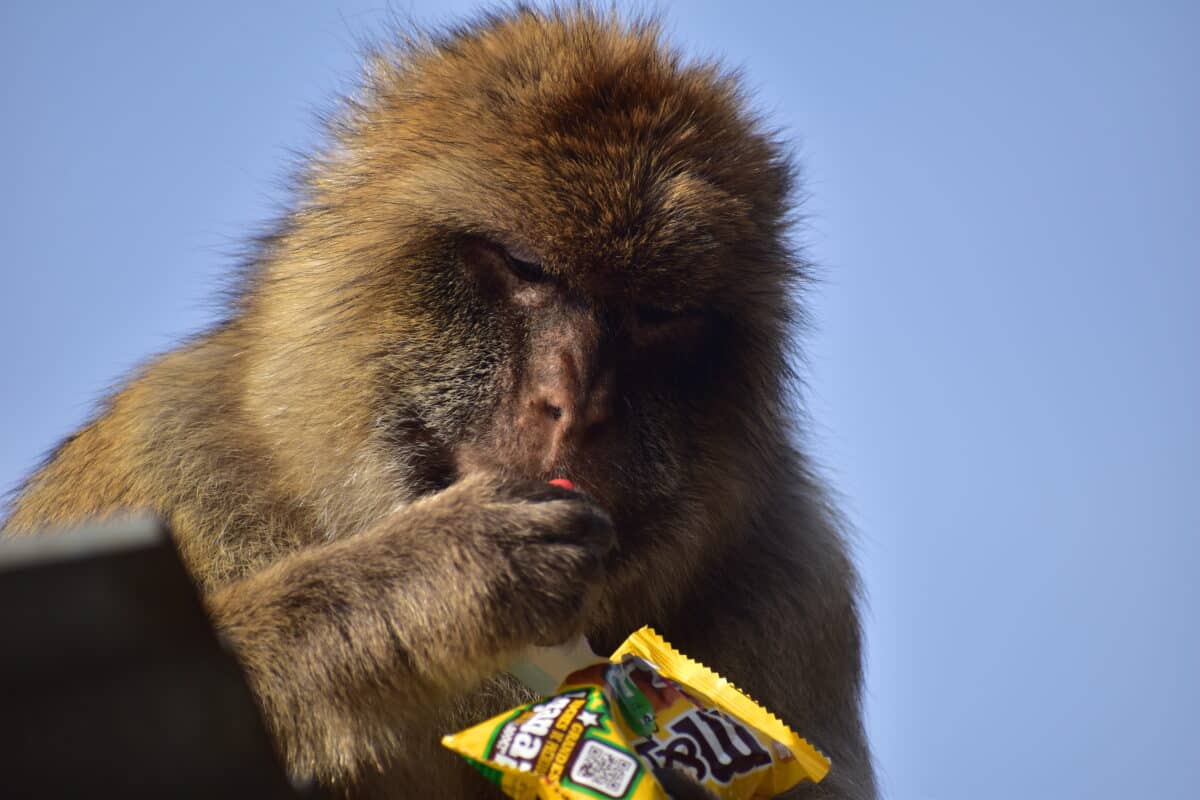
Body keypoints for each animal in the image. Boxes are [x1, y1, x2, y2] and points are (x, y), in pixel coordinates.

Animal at [2, 6, 876, 800]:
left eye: (658, 313)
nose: (572, 405)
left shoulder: (798, 584)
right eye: (526, 267)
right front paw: (429, 574)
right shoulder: (166, 453)